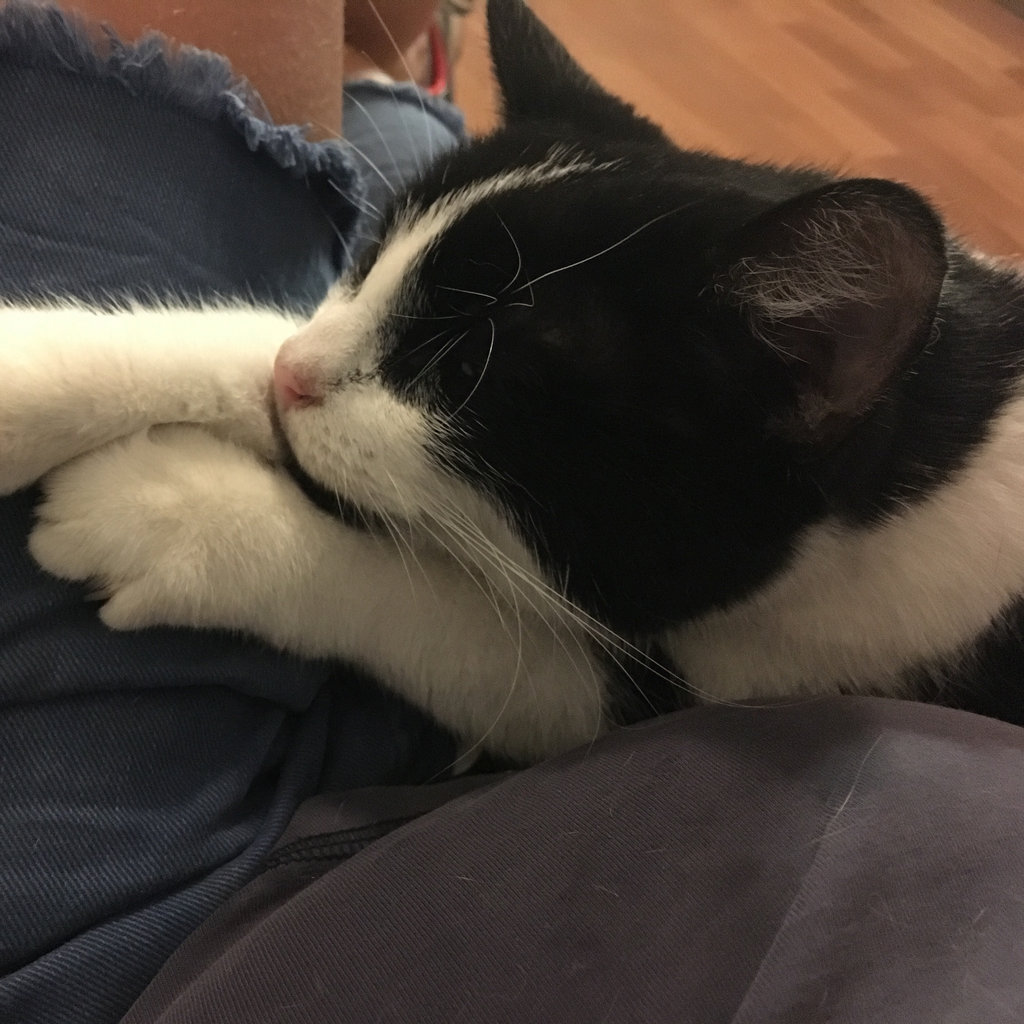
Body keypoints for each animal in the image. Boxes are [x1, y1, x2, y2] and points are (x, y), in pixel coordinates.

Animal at [1, 0, 1023, 763]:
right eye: (367, 259)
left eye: (465, 374)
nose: (297, 381)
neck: (948, 429)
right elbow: (243, 343)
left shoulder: (781, 662)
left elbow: (458, 631)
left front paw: (164, 508)